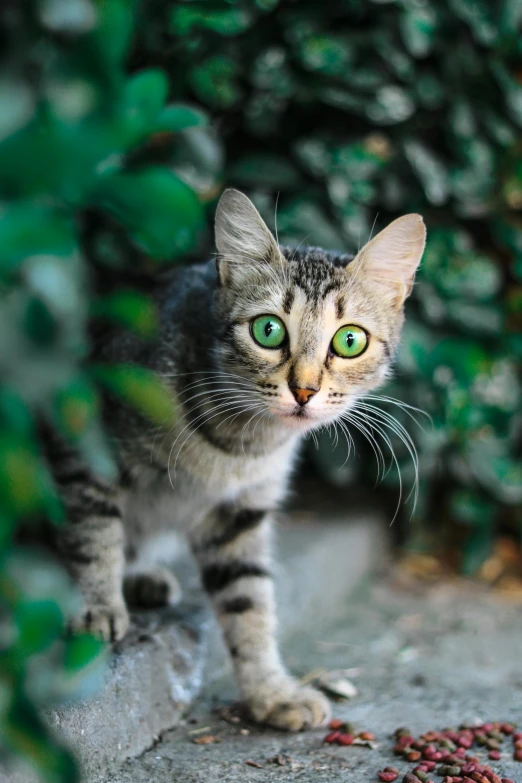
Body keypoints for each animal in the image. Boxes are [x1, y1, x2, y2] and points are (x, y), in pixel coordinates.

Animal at [48, 190, 422, 736]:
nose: (304, 390)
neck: (241, 446)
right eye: (268, 330)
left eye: (349, 340)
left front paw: (271, 692)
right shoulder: (86, 438)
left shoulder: (241, 513)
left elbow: (250, 603)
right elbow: (92, 531)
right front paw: (95, 606)